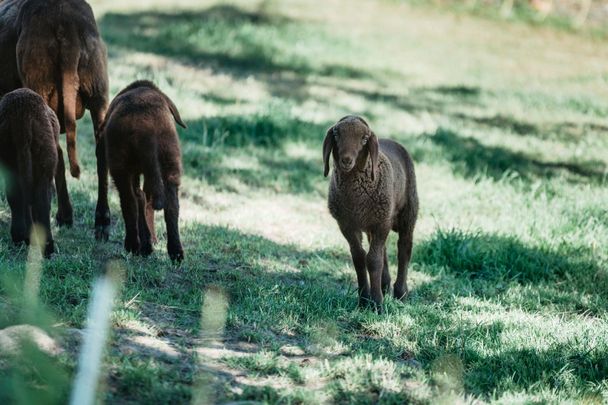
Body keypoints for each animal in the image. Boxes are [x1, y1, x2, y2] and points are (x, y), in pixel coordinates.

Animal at [0, 0, 111, 240]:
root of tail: (65, 22)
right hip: (98, 91)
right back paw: (101, 222)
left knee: (55, 153)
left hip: (40, 86)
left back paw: (63, 216)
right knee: (101, 155)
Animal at [0, 90, 60, 258]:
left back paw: (20, 237)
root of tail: (22, 115)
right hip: (45, 159)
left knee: (16, 196)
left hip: (10, 157)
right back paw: (47, 248)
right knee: (41, 202)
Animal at [101, 80, 185, 262]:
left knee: (130, 200)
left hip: (120, 166)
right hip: (170, 159)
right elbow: (147, 201)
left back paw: (133, 245)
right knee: (170, 205)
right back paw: (175, 252)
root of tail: (147, 127)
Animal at [324, 115, 418, 310]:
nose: (346, 160)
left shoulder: (381, 223)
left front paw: (377, 305)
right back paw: (385, 285)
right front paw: (364, 300)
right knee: (383, 250)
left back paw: (400, 293)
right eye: (336, 134)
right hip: (374, 222)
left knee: (404, 248)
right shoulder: (347, 224)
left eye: (364, 139)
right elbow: (359, 258)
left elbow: (373, 261)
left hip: (407, 212)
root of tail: (390, 140)